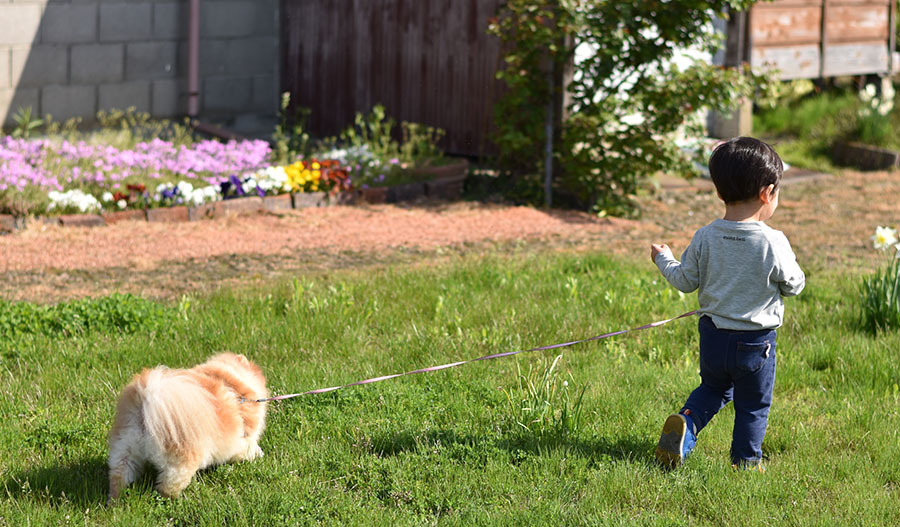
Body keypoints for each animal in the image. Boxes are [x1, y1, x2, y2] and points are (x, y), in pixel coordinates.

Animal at [108, 354, 268, 500]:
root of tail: (150, 397)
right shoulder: (243, 440)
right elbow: (250, 449)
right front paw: (259, 454)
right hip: (180, 459)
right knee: (168, 486)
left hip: (125, 446)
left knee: (119, 475)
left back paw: (115, 502)